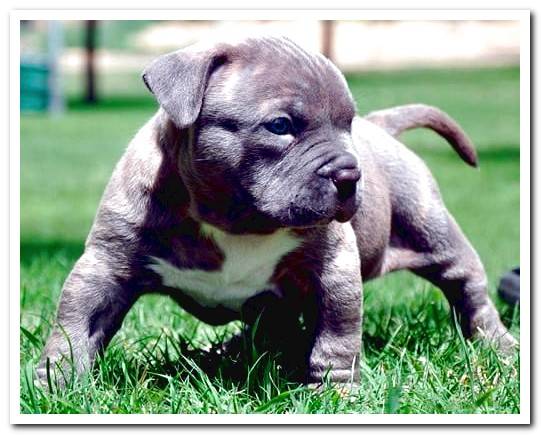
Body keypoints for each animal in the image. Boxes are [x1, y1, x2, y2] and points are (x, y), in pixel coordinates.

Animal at [37, 35, 516, 386]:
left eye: (346, 125)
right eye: (280, 126)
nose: (350, 174)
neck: (239, 221)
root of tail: (381, 127)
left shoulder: (335, 271)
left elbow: (337, 335)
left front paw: (336, 393)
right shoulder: (106, 266)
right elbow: (75, 324)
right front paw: (57, 384)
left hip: (432, 231)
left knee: (469, 291)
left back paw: (501, 347)